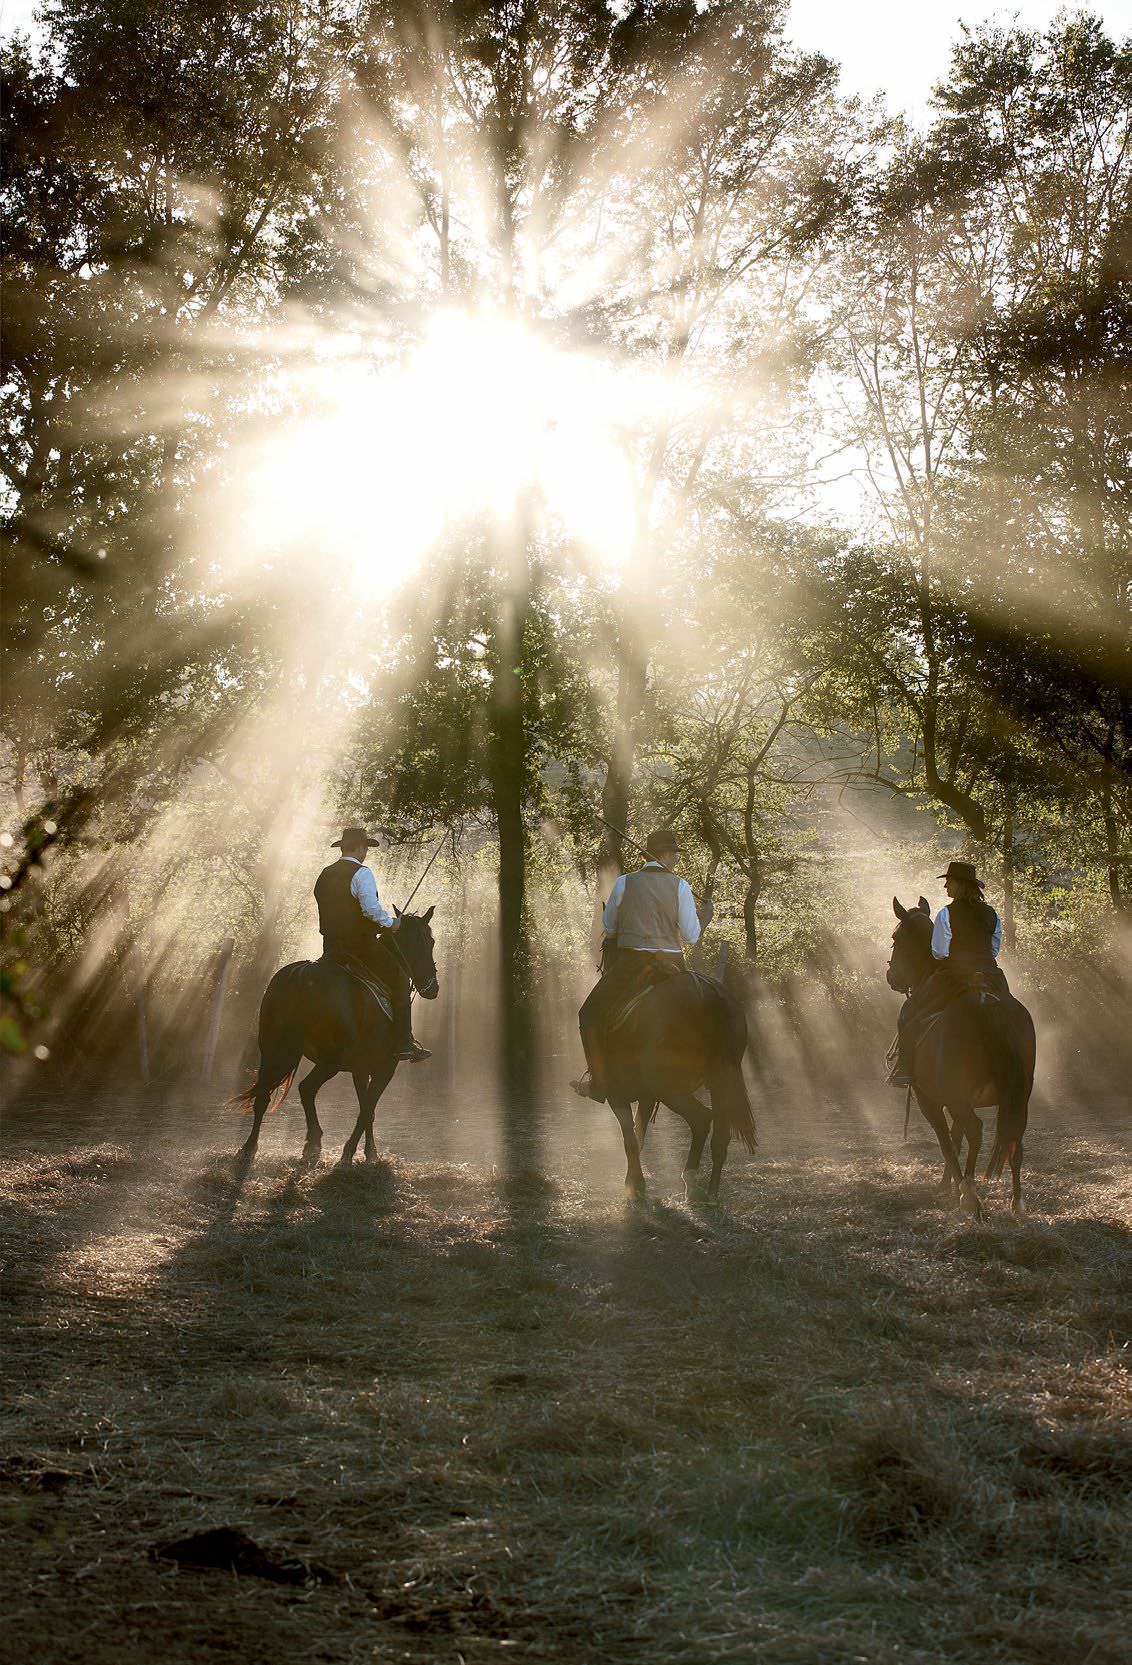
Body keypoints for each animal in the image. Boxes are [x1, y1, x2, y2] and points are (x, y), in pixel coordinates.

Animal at [231, 912, 439, 1172]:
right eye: (429, 942)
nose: (433, 988)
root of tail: (302, 975)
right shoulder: (385, 1069)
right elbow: (367, 1109)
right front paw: (348, 1154)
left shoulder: (360, 1069)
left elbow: (366, 1108)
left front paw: (370, 1154)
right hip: (329, 1061)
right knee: (306, 1088)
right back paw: (313, 1143)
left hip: (271, 1051)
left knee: (263, 1095)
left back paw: (249, 1149)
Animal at [595, 972, 755, 1198]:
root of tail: (710, 995)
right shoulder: (646, 1097)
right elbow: (639, 1133)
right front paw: (633, 1181)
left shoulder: (616, 1096)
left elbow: (630, 1138)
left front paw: (634, 1185)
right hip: (718, 1082)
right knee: (720, 1137)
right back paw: (711, 1192)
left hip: (669, 1089)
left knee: (701, 1119)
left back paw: (690, 1180)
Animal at [885, 899, 1038, 1212]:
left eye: (896, 938)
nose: (891, 976)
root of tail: (988, 1005)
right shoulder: (957, 1099)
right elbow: (956, 1138)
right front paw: (948, 1183)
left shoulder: (931, 1099)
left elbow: (946, 1141)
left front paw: (954, 1186)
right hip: (1017, 1096)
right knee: (1014, 1135)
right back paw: (1016, 1201)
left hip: (956, 1098)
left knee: (976, 1130)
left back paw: (970, 1194)